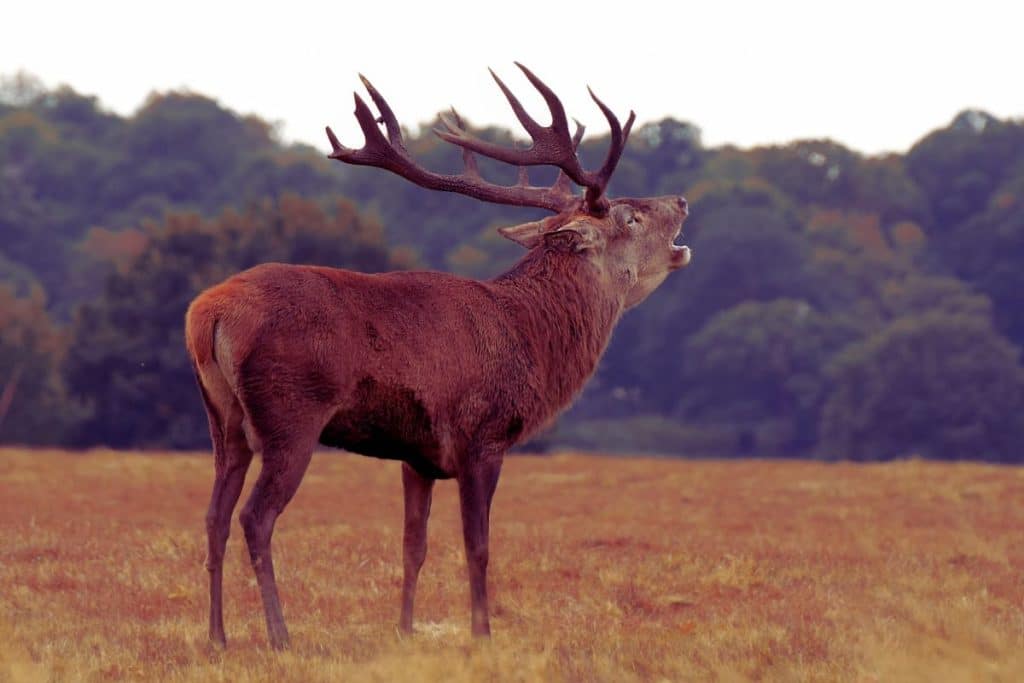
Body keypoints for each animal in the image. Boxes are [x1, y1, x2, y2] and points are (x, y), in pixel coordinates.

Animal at [184, 63, 691, 650]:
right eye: (631, 217)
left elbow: (414, 547)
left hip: (223, 419)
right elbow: (478, 546)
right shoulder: (481, 435)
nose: (681, 201)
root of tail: (208, 314)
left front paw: (405, 631)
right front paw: (482, 635)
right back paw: (280, 637)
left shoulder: (417, 455)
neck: (529, 338)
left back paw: (217, 637)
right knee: (255, 517)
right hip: (290, 413)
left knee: (214, 516)